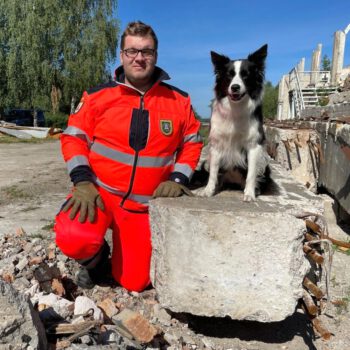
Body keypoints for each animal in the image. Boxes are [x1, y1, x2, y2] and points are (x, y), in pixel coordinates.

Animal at [197, 45, 270, 201]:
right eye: (229, 75)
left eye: (246, 75)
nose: (235, 87)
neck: (235, 109)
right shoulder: (217, 144)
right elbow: (213, 173)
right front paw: (208, 190)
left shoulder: (254, 145)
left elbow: (251, 174)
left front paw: (249, 194)